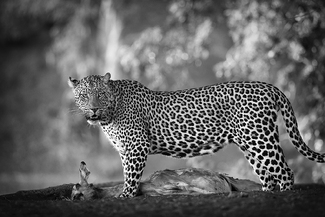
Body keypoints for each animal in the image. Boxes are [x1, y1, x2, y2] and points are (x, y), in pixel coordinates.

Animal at [68, 72, 324, 198]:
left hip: (259, 139)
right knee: (268, 175)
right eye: (83, 96)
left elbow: (131, 178)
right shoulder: (124, 150)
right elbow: (126, 175)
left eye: (101, 94)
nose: (93, 109)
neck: (109, 114)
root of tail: (270, 87)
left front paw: (125, 197)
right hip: (252, 143)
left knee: (285, 172)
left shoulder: (136, 146)